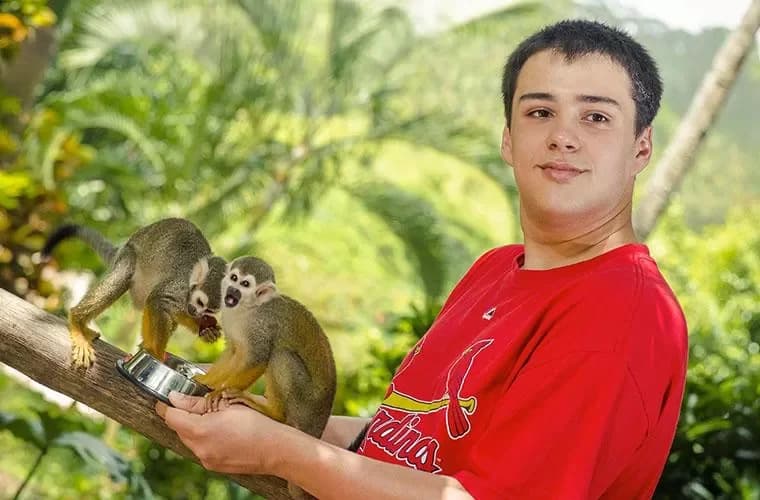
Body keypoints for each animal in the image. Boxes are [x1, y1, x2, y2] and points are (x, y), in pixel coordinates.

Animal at [42, 217, 227, 369]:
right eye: (200, 302)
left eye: (209, 310)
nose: (196, 312)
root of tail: (125, 245)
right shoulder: (180, 286)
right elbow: (158, 300)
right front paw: (156, 354)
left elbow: (165, 307)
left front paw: (205, 329)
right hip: (128, 255)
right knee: (127, 274)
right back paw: (77, 321)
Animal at [193, 255, 336, 500]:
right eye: (234, 278)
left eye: (245, 284)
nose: (232, 290)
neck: (248, 309)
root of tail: (317, 428)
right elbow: (234, 352)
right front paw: (206, 381)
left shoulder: (262, 327)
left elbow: (258, 359)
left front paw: (219, 392)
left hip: (304, 405)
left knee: (280, 355)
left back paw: (274, 413)